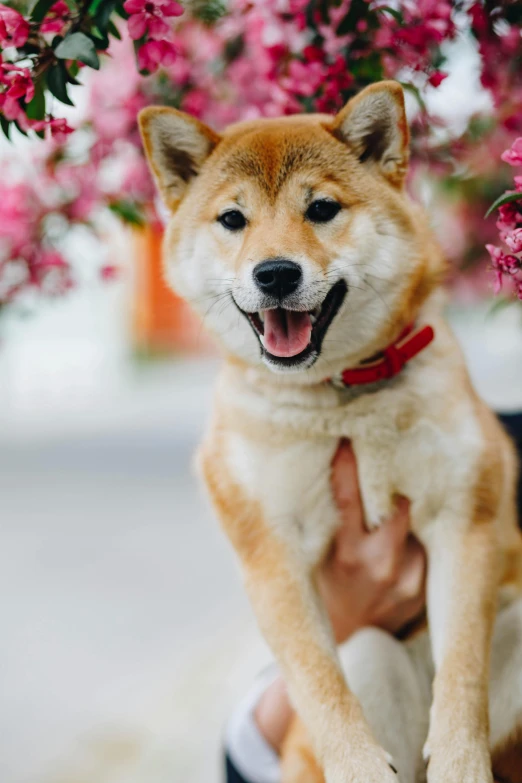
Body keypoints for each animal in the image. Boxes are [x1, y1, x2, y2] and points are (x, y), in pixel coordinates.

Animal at [138, 84, 520, 783]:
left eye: (321, 209)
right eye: (232, 220)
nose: (275, 274)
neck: (343, 397)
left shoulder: (465, 521)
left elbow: (462, 676)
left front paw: (461, 763)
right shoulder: (273, 552)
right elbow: (317, 682)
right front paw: (357, 765)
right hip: (367, 649)